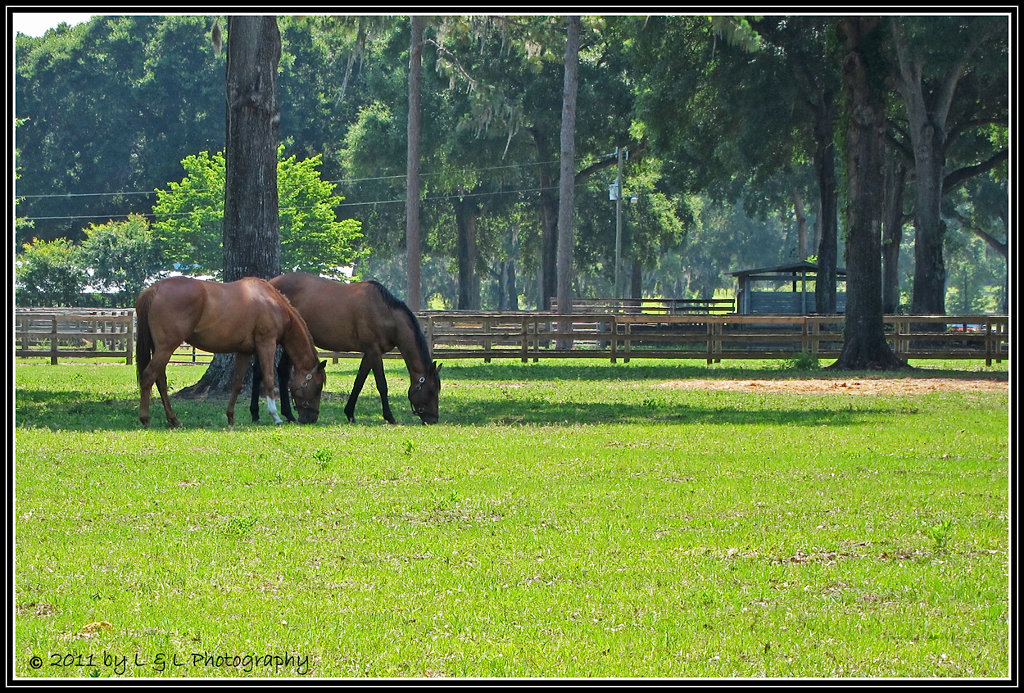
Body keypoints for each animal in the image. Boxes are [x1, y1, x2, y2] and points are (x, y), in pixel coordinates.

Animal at [135, 276, 327, 428]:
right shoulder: (267, 343)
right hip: (166, 347)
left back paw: (174, 420)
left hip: (160, 348)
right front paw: (275, 416)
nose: (311, 418)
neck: (272, 302)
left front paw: (231, 417)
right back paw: (145, 419)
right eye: (317, 387)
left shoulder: (244, 351)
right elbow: (269, 379)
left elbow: (237, 383)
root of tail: (154, 289)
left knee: (160, 380)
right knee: (149, 376)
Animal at [249, 273, 441, 425]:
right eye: (432, 391)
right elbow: (382, 385)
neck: (385, 313)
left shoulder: (369, 353)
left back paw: (274, 414)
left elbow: (359, 382)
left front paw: (350, 413)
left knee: (272, 372)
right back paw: (269, 414)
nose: (433, 420)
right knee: (271, 372)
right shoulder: (374, 352)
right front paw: (389, 416)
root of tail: (269, 284)